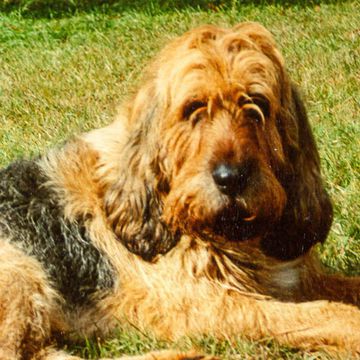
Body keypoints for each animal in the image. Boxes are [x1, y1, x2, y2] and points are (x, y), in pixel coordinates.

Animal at [0, 22, 360, 360]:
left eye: (257, 104)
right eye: (193, 108)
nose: (231, 179)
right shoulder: (211, 306)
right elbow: (329, 313)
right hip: (21, 271)